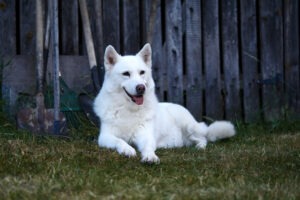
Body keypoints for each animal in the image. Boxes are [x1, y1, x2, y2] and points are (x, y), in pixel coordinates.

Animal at [92, 43, 236, 162]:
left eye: (142, 72)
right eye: (126, 74)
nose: (141, 88)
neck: (129, 109)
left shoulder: (146, 136)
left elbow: (148, 147)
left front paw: (150, 156)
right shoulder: (105, 137)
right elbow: (120, 141)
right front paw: (127, 149)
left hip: (189, 127)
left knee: (203, 138)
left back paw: (200, 147)